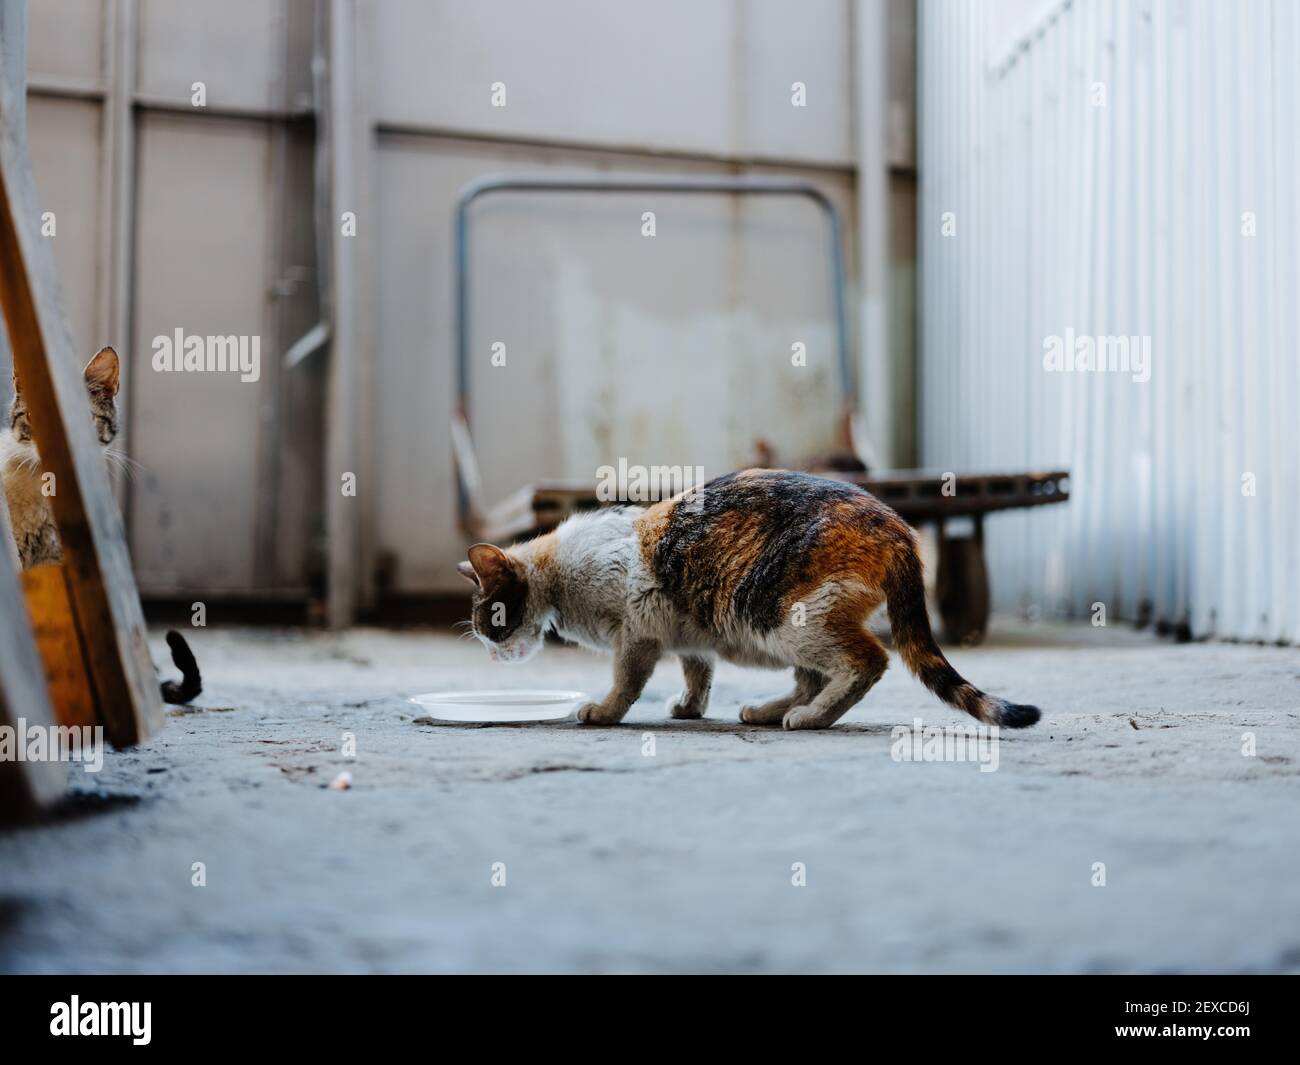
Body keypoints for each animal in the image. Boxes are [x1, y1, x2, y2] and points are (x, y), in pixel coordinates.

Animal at [462, 473, 1040, 733]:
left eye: (491, 621)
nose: (489, 653)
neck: (559, 573)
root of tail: (900, 528)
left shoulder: (637, 630)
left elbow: (626, 681)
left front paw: (603, 712)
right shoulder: (684, 633)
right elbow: (698, 671)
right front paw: (690, 708)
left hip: (785, 616)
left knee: (866, 661)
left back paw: (810, 718)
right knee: (812, 677)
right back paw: (768, 710)